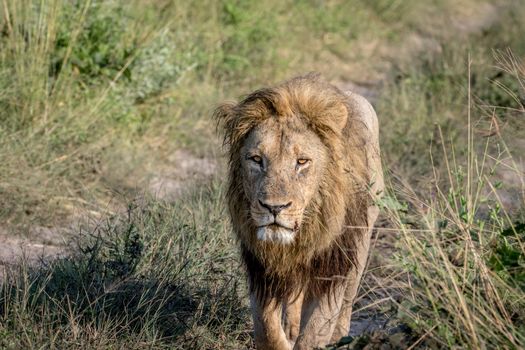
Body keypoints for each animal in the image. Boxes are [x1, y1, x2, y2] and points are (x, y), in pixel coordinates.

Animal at [215, 72, 382, 348]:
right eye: (256, 159)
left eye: (302, 162)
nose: (274, 207)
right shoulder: (261, 268)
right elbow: (267, 328)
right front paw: (282, 336)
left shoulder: (331, 269)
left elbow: (314, 332)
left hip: (362, 238)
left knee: (348, 300)